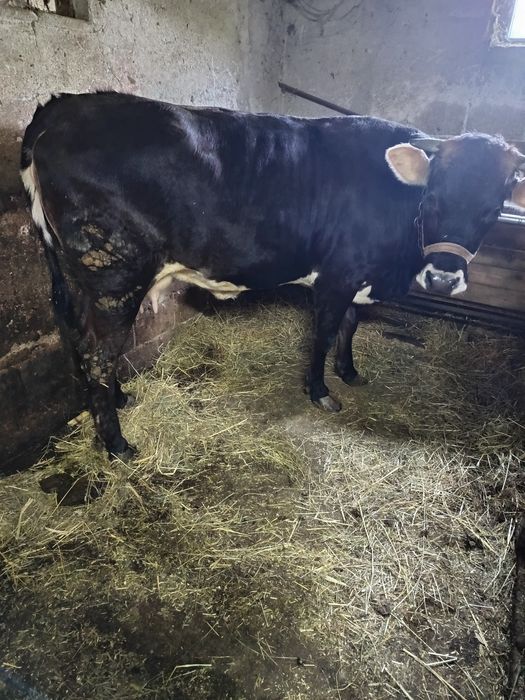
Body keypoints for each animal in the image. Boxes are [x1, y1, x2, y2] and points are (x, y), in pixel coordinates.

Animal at [20, 92, 525, 458]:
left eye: (493, 209)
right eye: (433, 199)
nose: (443, 279)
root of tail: (62, 106)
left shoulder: (356, 276)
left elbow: (351, 326)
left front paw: (349, 372)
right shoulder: (338, 275)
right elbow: (325, 333)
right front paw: (321, 391)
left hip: (75, 279)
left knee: (80, 341)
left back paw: (116, 401)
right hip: (114, 275)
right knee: (99, 355)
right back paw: (117, 444)